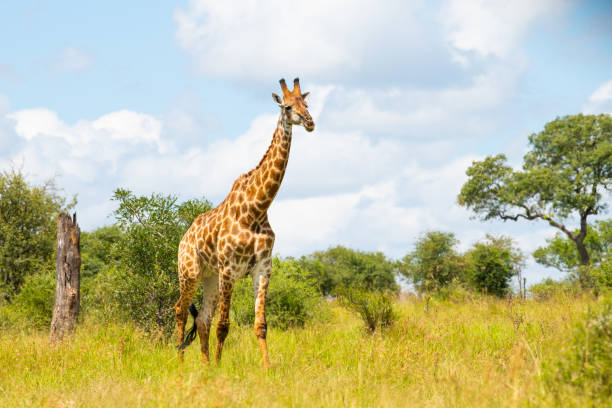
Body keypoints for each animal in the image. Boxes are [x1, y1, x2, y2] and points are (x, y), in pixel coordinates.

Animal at [173, 76, 314, 366]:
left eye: (306, 104)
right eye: (287, 107)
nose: (310, 122)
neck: (257, 208)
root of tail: (183, 239)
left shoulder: (262, 268)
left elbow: (260, 324)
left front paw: (267, 368)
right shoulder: (229, 269)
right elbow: (224, 325)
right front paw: (220, 366)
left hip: (210, 277)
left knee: (202, 318)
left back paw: (204, 365)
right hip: (189, 271)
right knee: (181, 309)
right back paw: (181, 363)